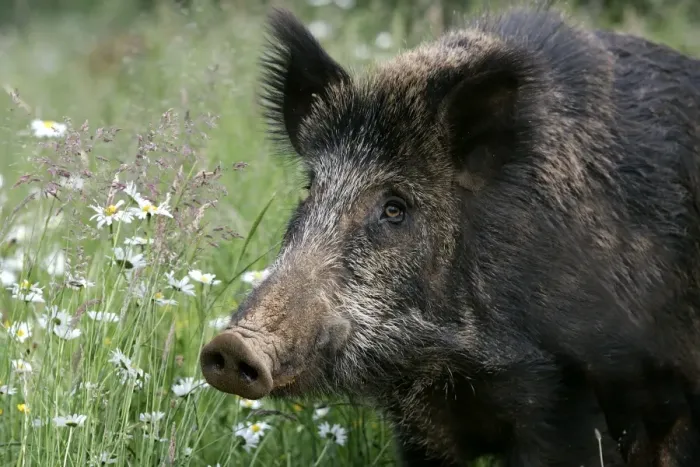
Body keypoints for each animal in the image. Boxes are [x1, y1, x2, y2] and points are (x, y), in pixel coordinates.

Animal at [200, 4, 700, 466]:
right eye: (311, 189)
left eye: (395, 208)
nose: (233, 345)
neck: (452, 364)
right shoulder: (420, 424)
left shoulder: (572, 395)